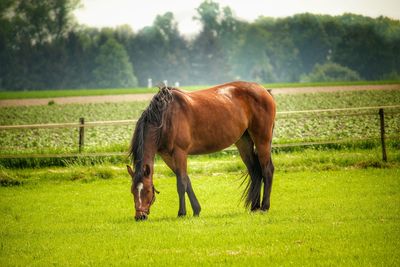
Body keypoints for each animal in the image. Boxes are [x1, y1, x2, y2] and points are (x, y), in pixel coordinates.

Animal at [126, 81, 276, 222]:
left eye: (147, 190)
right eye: (132, 191)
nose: (140, 217)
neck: (165, 118)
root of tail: (265, 91)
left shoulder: (180, 152)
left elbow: (181, 183)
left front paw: (182, 213)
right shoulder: (167, 156)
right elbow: (186, 180)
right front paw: (196, 210)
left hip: (262, 140)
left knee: (267, 170)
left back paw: (264, 207)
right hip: (243, 142)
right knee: (255, 171)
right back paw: (254, 207)